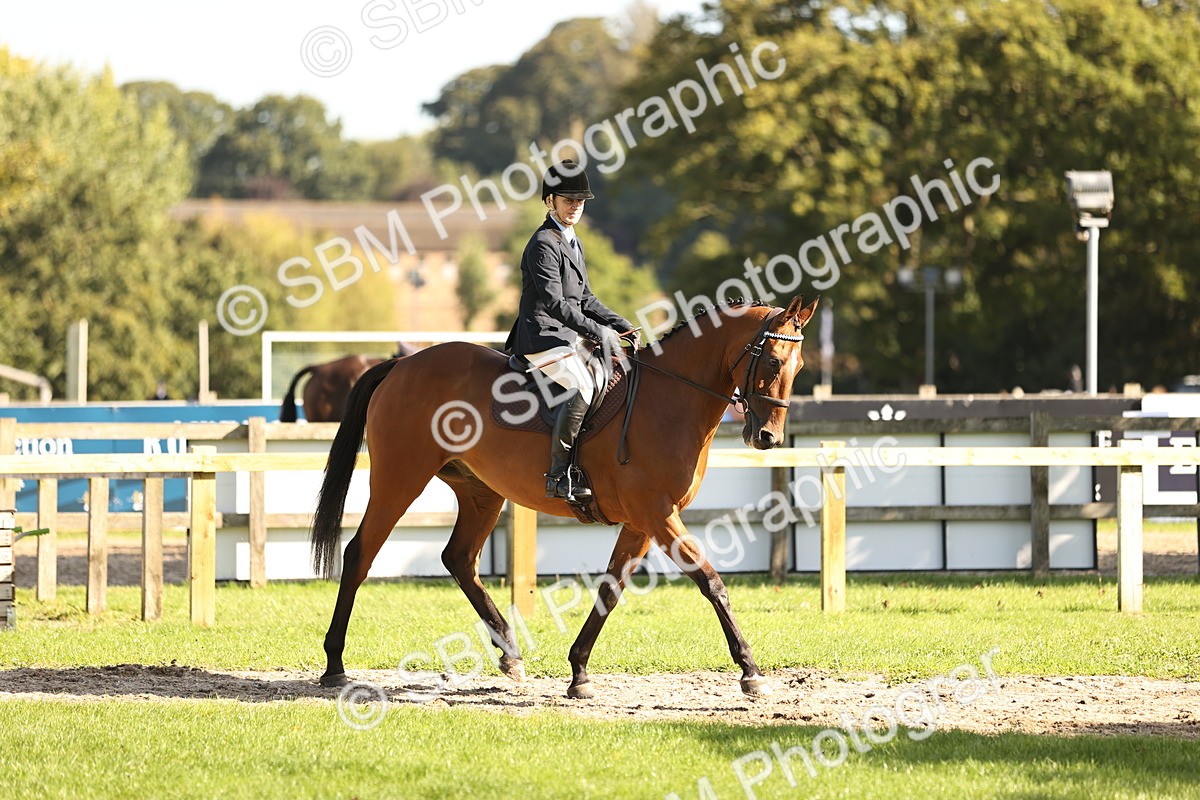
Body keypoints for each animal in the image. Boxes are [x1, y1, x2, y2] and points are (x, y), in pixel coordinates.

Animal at [310, 295, 818, 699]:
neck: (670, 399)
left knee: (459, 559)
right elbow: (711, 582)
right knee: (360, 554)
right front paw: (750, 670)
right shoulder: (658, 514)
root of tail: (402, 365)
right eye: (773, 363)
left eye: (798, 368)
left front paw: (579, 672)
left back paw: (510, 653)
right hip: (400, 479)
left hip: (480, 491)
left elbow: (610, 590)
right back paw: (334, 665)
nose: (768, 437)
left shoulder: (642, 523)